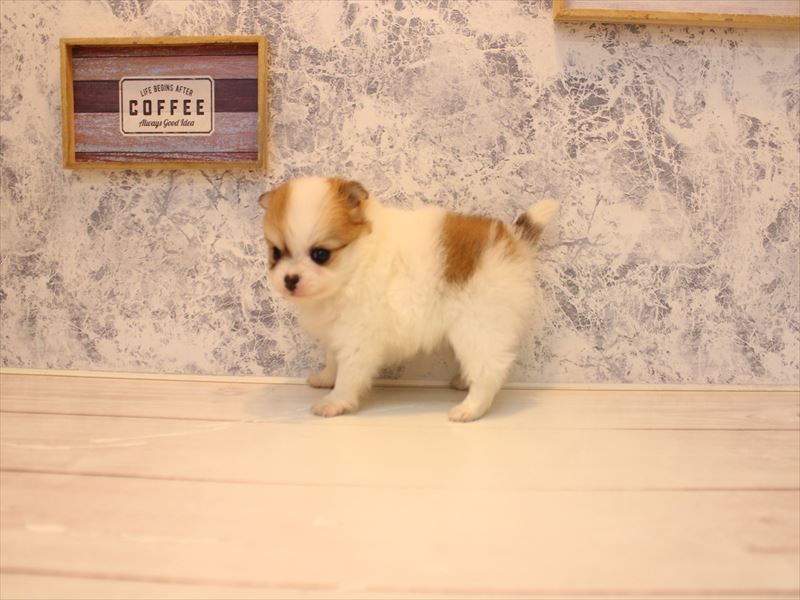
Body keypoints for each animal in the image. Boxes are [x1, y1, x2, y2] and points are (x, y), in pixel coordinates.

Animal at [258, 177, 557, 421]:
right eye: (276, 253)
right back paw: (463, 382)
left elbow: (348, 374)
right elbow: (333, 360)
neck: (356, 264)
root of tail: (514, 240)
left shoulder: (358, 339)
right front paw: (325, 378)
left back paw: (470, 409)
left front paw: (335, 401)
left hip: (479, 324)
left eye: (320, 255)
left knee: (489, 369)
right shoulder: (336, 331)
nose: (290, 279)